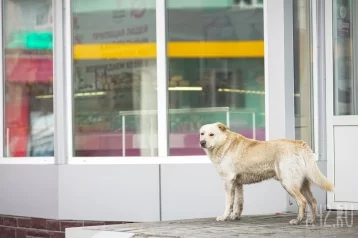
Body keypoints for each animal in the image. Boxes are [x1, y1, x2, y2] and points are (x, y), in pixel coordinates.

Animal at [200, 122, 334, 225]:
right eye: (202, 133)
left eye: (211, 134)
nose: (202, 142)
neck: (224, 144)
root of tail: (300, 144)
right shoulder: (237, 183)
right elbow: (239, 202)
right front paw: (236, 216)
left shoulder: (228, 181)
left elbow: (229, 203)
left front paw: (224, 217)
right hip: (302, 183)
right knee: (313, 201)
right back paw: (311, 220)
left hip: (288, 183)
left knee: (302, 201)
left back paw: (297, 220)